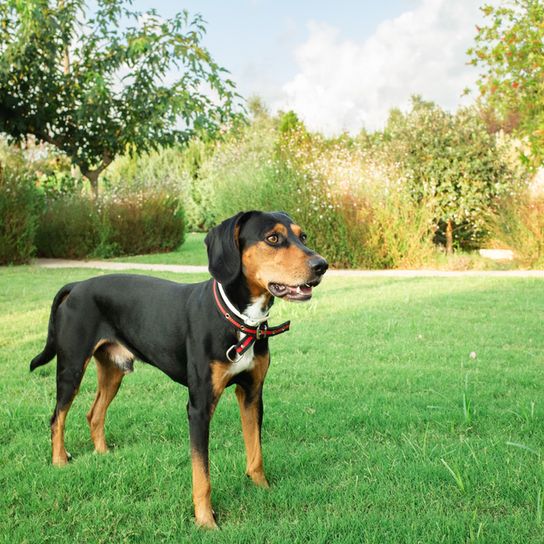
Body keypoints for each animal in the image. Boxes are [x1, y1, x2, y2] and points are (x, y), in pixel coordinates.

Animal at [30, 209, 328, 528]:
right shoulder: (199, 407)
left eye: (303, 236)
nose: (322, 265)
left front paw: (263, 489)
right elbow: (202, 474)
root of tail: (77, 285)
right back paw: (60, 461)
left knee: (94, 412)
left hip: (113, 370)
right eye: (272, 238)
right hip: (71, 367)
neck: (238, 320)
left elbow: (255, 453)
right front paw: (206, 521)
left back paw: (103, 453)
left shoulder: (252, 394)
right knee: (57, 417)